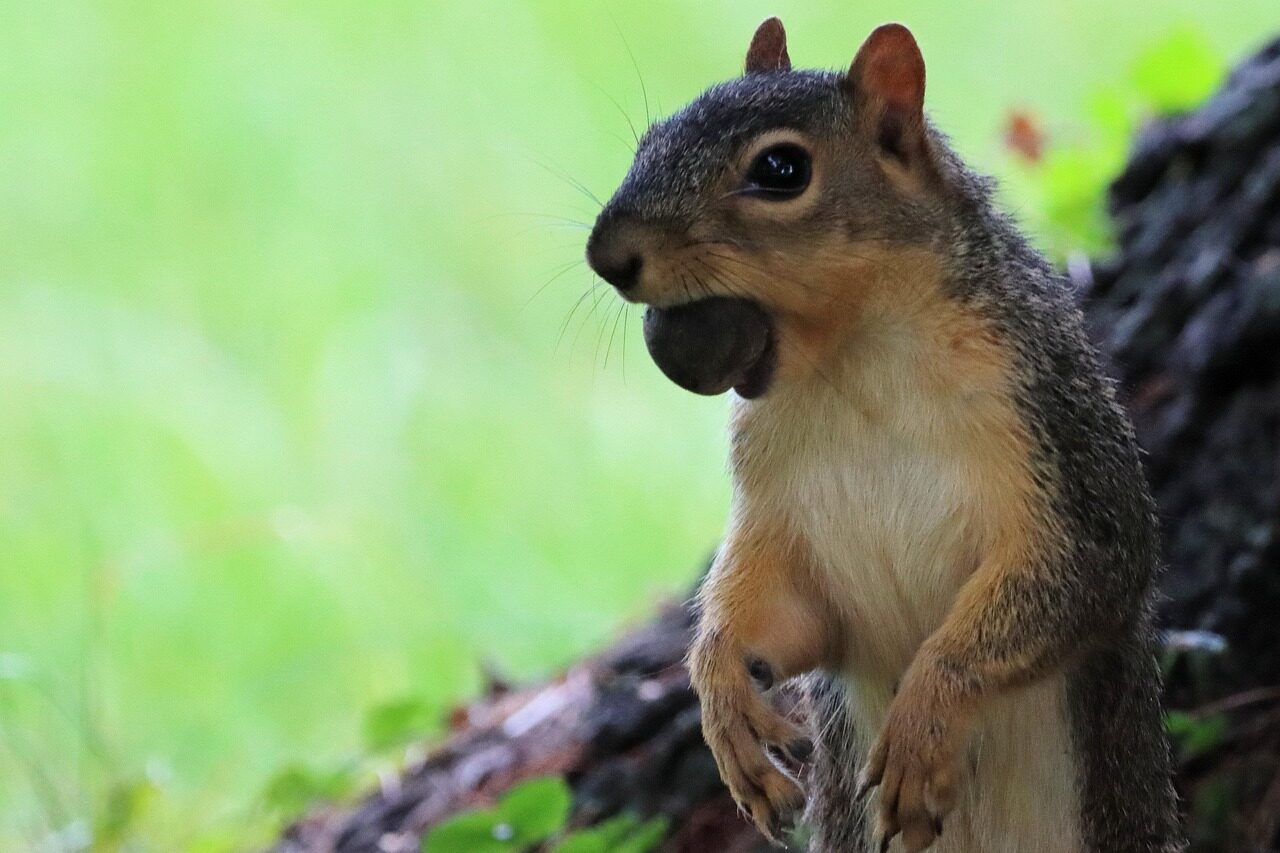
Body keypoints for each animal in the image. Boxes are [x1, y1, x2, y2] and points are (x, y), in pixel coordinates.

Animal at [585, 18, 1183, 853]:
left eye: (781, 169)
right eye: (651, 140)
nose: (607, 256)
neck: (854, 356)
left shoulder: (1054, 436)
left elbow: (1078, 572)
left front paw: (924, 719)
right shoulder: (779, 505)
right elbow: (782, 617)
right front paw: (725, 703)